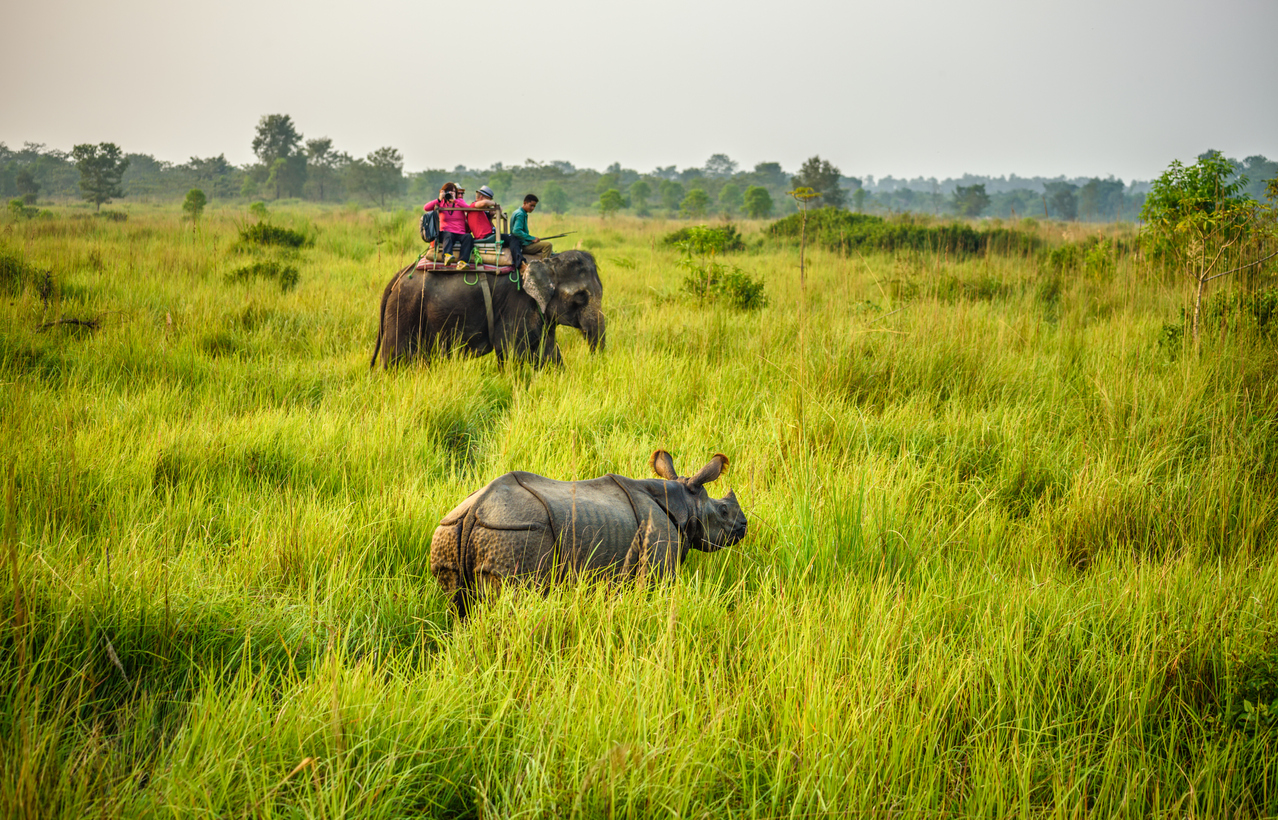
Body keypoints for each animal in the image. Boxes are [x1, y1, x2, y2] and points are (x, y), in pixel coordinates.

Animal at [373, 245, 605, 367]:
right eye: (580, 297)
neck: (548, 261)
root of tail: (398, 276)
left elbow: (548, 352)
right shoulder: (517, 303)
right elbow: (510, 350)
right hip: (404, 307)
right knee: (395, 357)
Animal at [431, 449, 746, 615]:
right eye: (723, 511)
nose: (744, 526)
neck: (685, 504)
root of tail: (475, 510)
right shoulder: (658, 561)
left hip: (452, 530)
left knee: (456, 603)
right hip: (516, 533)